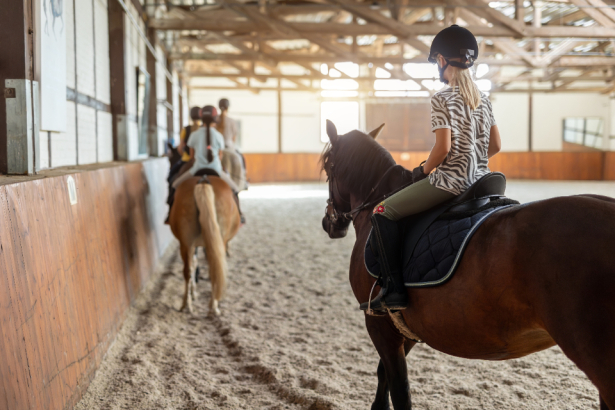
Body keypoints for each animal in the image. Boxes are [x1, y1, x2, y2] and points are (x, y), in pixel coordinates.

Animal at [168, 172, 241, 314]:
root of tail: (203, 181)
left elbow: (194, 264)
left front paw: (194, 293)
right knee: (211, 269)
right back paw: (210, 305)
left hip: (186, 244)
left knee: (189, 270)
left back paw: (188, 305)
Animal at [320, 121, 615, 410]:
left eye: (327, 169)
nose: (329, 223)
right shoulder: (406, 326)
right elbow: (385, 375)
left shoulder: (378, 321)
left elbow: (399, 388)